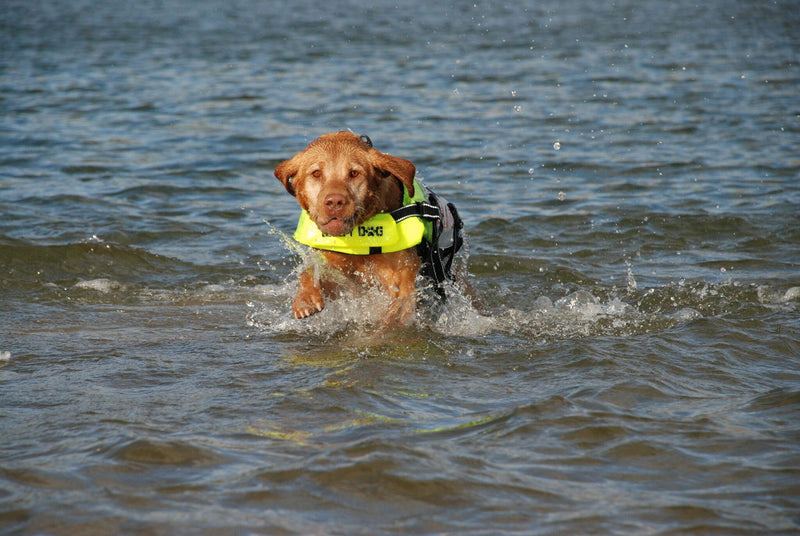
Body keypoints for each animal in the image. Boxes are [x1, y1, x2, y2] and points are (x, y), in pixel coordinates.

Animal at [276, 132, 462, 324]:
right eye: (316, 173)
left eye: (354, 173)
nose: (335, 202)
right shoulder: (334, 267)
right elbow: (311, 272)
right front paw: (305, 299)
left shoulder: (400, 278)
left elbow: (397, 304)